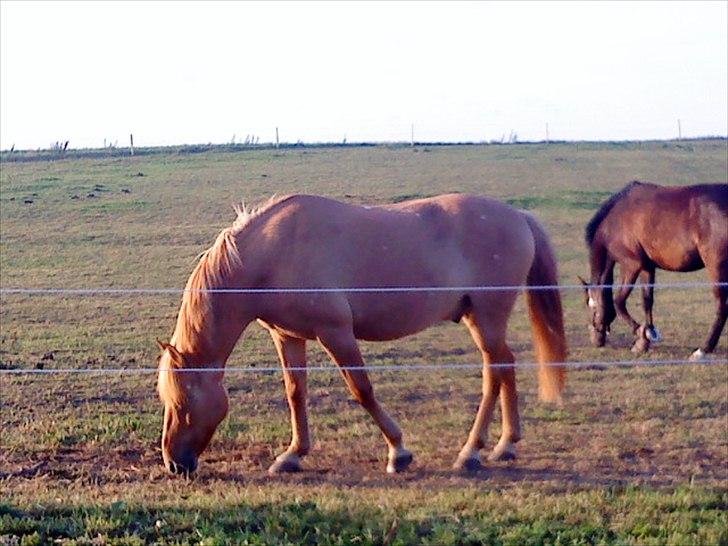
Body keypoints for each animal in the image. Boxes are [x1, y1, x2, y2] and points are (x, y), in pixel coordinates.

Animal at [158, 193, 568, 474]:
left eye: (183, 402)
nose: (174, 463)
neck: (273, 253)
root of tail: (518, 216)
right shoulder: (288, 336)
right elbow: (295, 393)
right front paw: (292, 455)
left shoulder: (335, 332)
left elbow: (362, 389)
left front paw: (398, 452)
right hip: (477, 317)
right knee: (506, 365)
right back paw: (505, 446)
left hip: (487, 315)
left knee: (494, 371)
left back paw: (471, 452)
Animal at [580, 182, 728, 356]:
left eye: (591, 306)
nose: (596, 340)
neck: (615, 220)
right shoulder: (647, 267)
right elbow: (647, 300)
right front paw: (646, 337)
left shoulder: (631, 265)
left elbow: (619, 301)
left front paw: (640, 333)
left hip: (716, 267)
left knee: (721, 306)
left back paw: (704, 349)